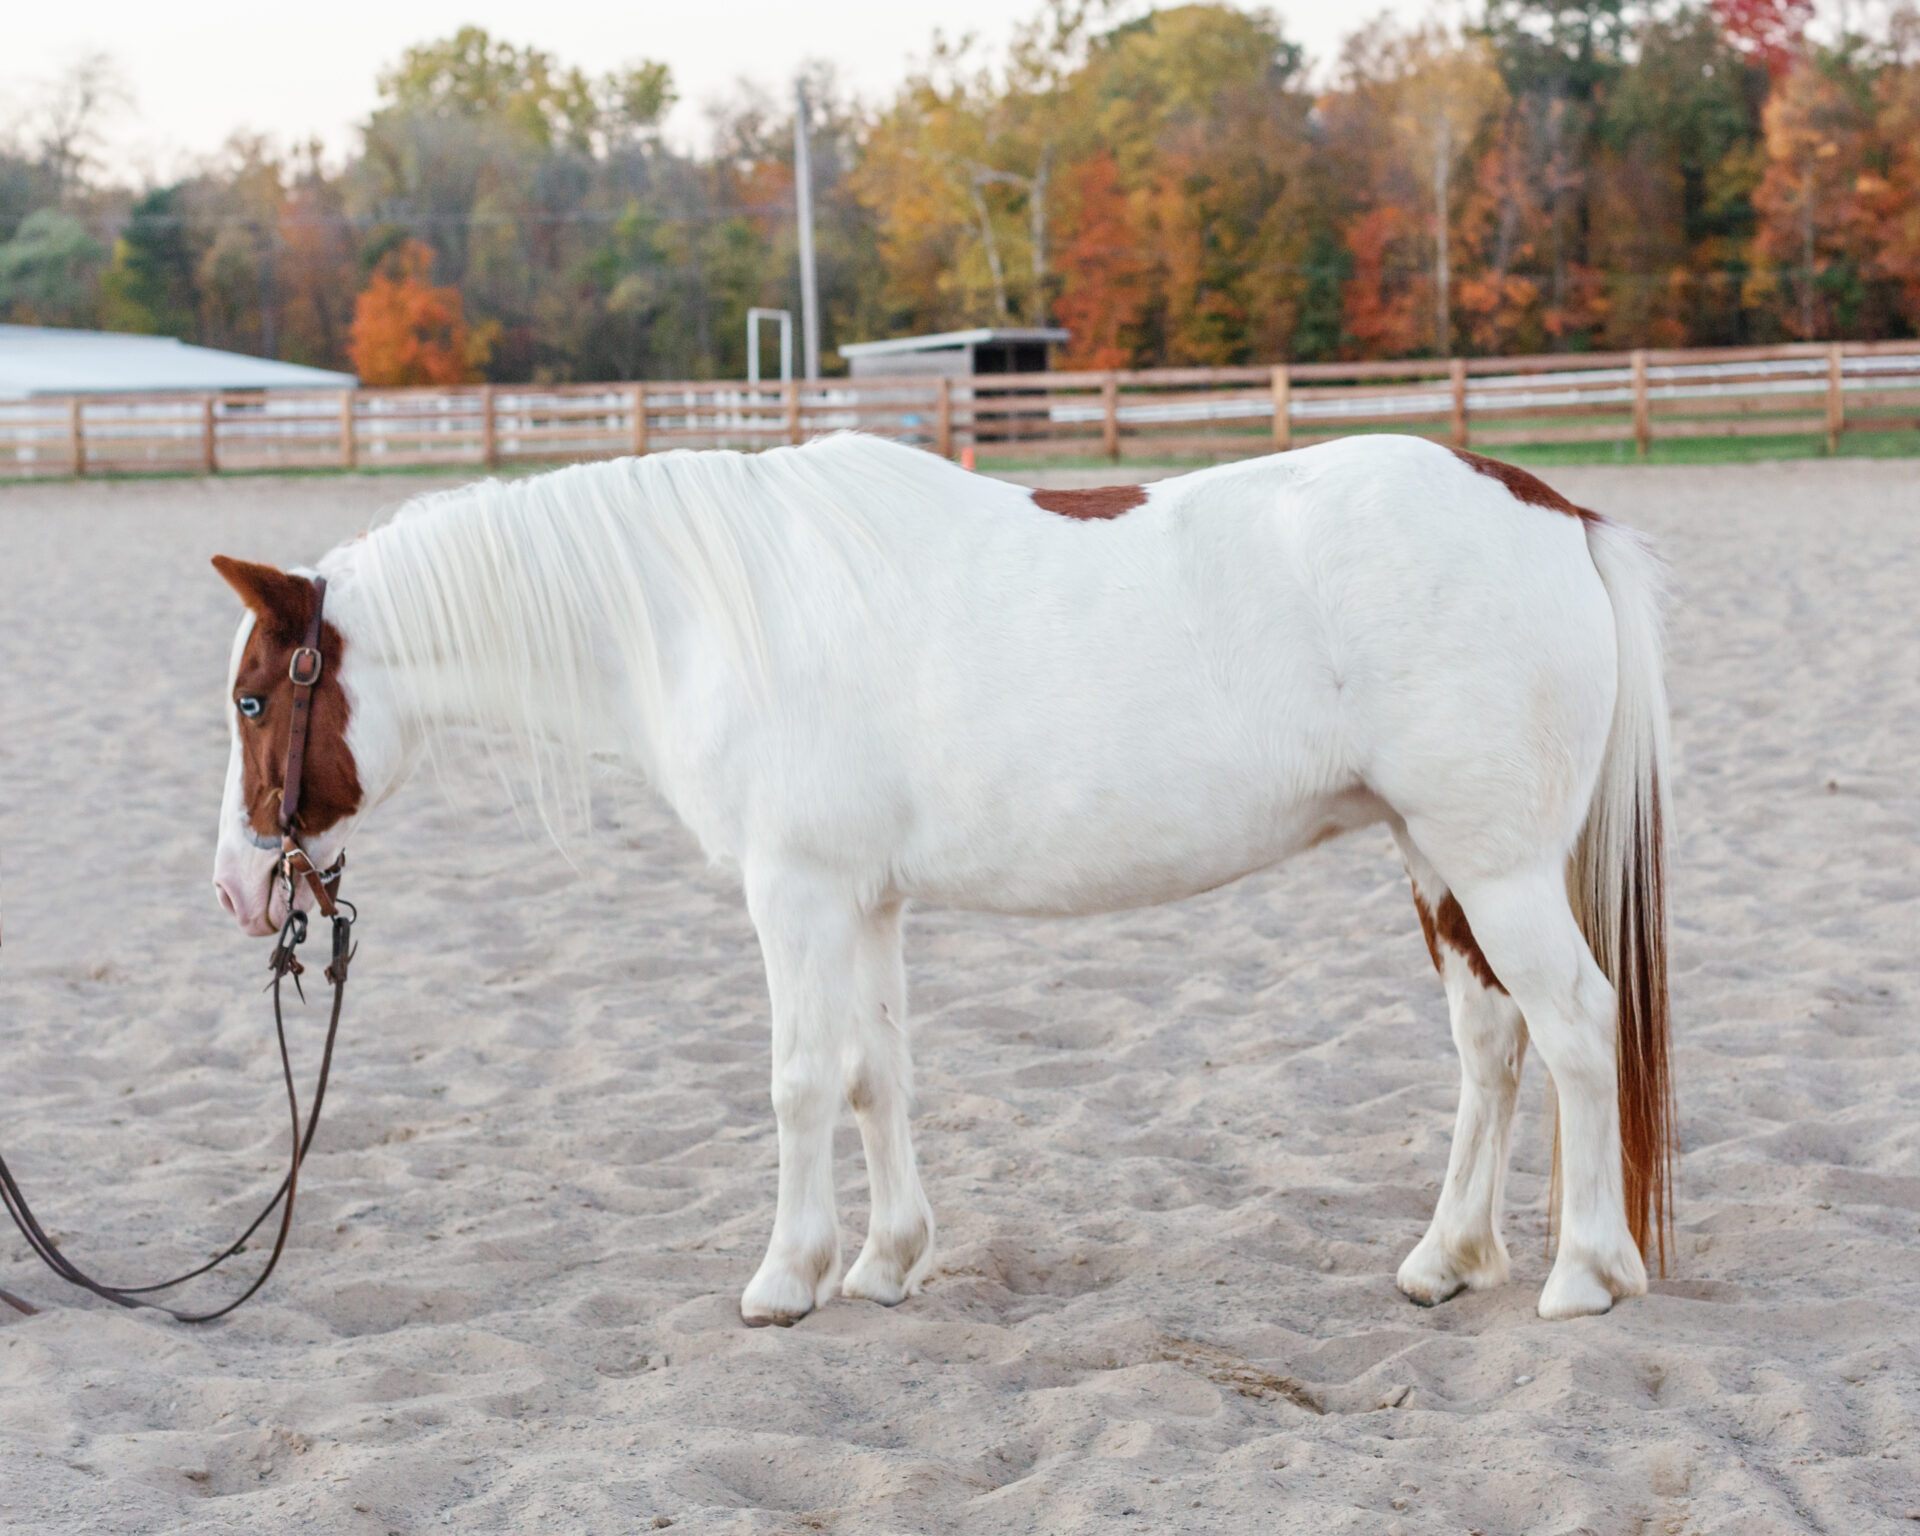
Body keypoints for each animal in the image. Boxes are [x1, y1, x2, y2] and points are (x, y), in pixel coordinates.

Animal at [208, 431, 1673, 1327]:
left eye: (249, 698)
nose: (241, 891)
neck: (706, 613)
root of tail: (1551, 509)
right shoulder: (865, 900)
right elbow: (877, 1076)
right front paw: (887, 1261)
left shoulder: (796, 894)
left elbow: (802, 1081)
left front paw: (787, 1276)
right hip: (1440, 865)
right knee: (1491, 1045)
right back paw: (1447, 1260)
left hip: (1496, 868)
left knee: (1578, 1029)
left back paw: (1588, 1273)